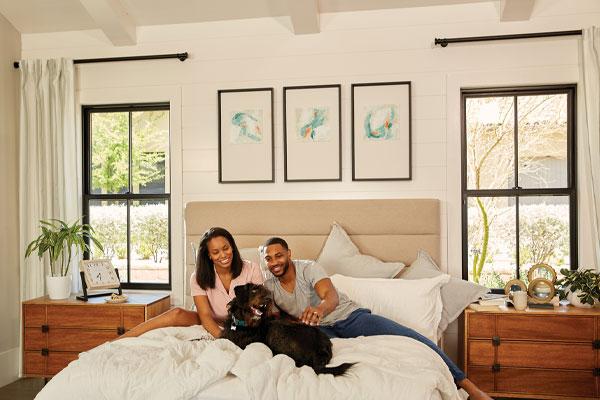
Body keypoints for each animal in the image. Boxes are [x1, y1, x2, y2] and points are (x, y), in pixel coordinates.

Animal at [221, 282, 354, 376]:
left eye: (266, 291)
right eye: (254, 289)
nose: (269, 299)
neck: (243, 324)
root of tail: (322, 348)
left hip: (277, 329)